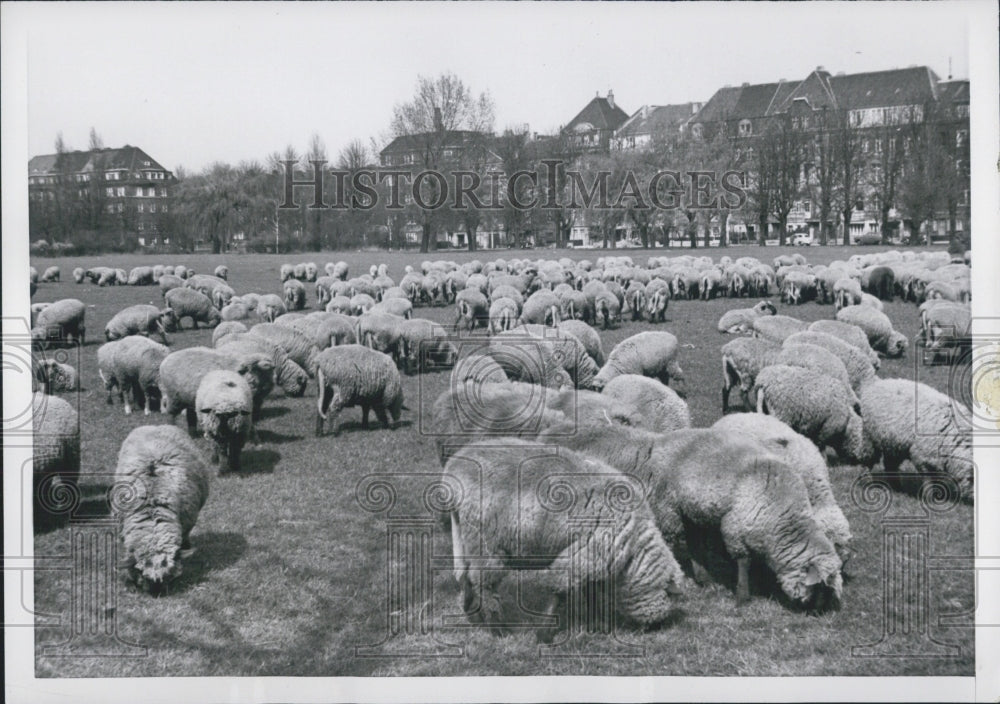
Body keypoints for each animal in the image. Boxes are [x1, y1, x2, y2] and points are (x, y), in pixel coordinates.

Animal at [448, 440, 688, 640]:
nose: (657, 629)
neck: (632, 547)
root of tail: (455, 465)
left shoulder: (594, 557)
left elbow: (592, 592)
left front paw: (598, 626)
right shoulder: (585, 553)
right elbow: (561, 592)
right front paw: (545, 635)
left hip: (463, 535)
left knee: (464, 576)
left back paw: (473, 616)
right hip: (487, 543)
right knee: (484, 582)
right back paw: (498, 629)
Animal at [540, 426, 844, 608]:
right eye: (821, 589)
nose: (818, 613)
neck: (783, 515)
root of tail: (654, 445)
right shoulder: (735, 527)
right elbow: (743, 561)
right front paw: (743, 596)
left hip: (692, 509)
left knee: (694, 542)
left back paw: (703, 578)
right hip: (669, 508)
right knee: (678, 542)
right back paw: (695, 577)